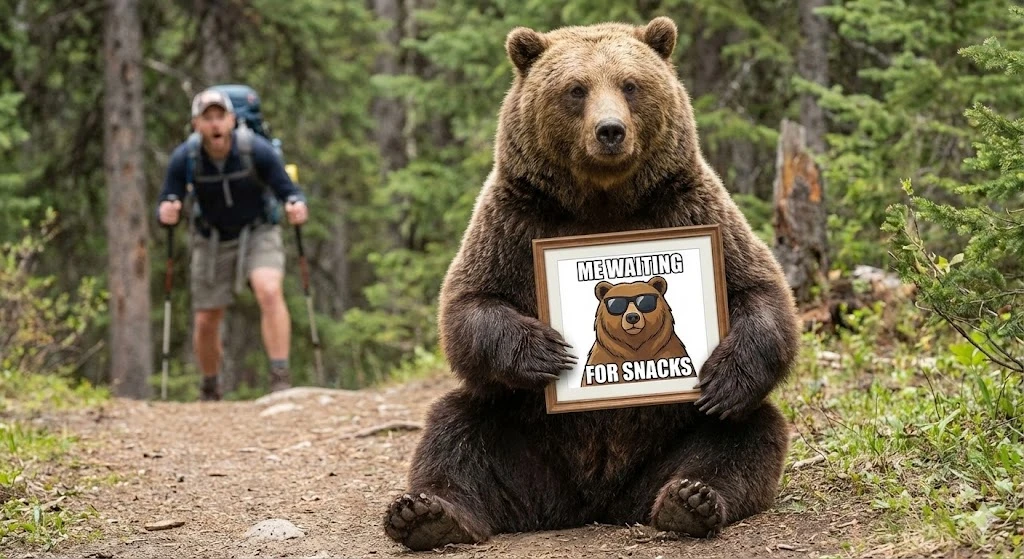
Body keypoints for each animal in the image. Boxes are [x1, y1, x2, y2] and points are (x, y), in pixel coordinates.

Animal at [383, 16, 799, 551]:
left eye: (630, 84)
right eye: (576, 89)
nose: (610, 131)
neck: (602, 201)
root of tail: (594, 502)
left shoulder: (688, 206)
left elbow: (758, 288)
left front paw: (723, 377)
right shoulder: (516, 220)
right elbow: (469, 303)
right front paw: (545, 350)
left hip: (668, 442)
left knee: (743, 435)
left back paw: (690, 500)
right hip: (521, 438)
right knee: (457, 431)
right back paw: (428, 513)